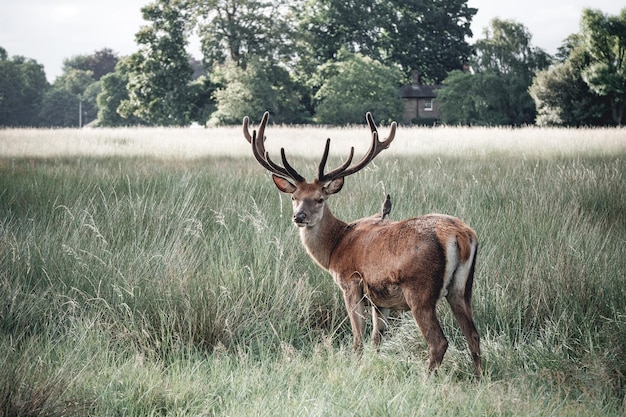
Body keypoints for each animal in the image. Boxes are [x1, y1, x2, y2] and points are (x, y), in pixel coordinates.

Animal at [241, 110, 480, 374]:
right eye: (294, 197)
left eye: (320, 198)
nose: (299, 217)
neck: (335, 247)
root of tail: (460, 235)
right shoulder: (380, 299)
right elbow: (377, 338)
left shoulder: (351, 283)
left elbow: (358, 338)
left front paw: (354, 365)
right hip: (463, 288)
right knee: (473, 335)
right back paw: (479, 377)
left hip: (420, 289)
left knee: (438, 341)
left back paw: (427, 378)